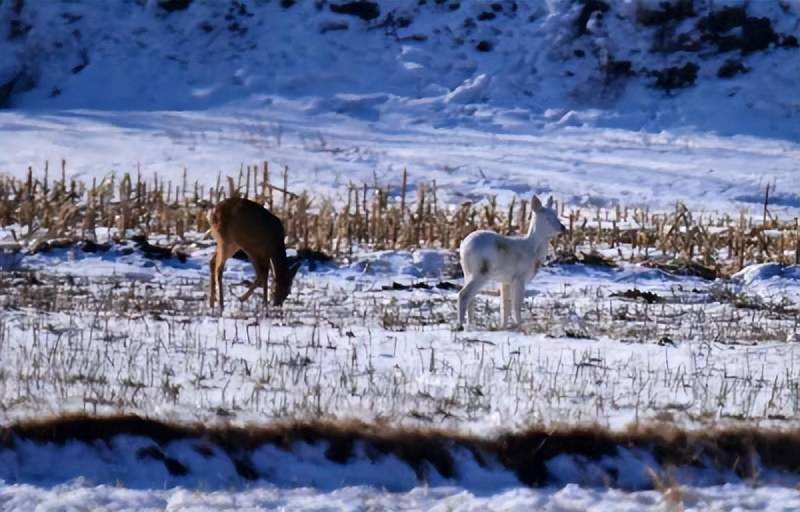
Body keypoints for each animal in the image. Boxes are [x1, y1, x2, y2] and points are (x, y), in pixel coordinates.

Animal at [456, 194, 568, 330]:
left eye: (556, 214)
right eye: (547, 218)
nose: (563, 227)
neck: (531, 249)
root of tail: (463, 248)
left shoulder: (505, 281)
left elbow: (505, 306)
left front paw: (503, 326)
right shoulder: (519, 277)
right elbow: (516, 305)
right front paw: (520, 325)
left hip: (468, 272)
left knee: (471, 297)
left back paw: (471, 324)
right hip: (481, 272)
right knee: (464, 294)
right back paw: (460, 325)